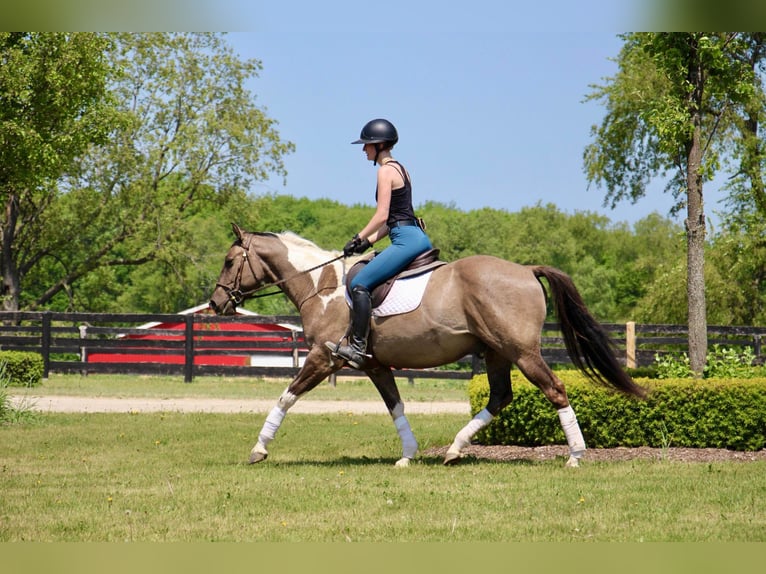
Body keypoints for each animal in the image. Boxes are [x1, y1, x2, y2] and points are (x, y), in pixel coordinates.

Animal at [210, 224, 648, 468]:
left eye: (230, 261)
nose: (216, 304)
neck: (323, 286)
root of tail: (526, 270)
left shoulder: (323, 358)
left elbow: (285, 398)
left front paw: (259, 448)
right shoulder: (375, 365)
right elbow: (396, 406)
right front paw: (408, 454)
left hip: (522, 353)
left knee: (555, 390)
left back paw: (575, 455)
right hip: (496, 353)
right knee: (500, 397)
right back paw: (454, 449)